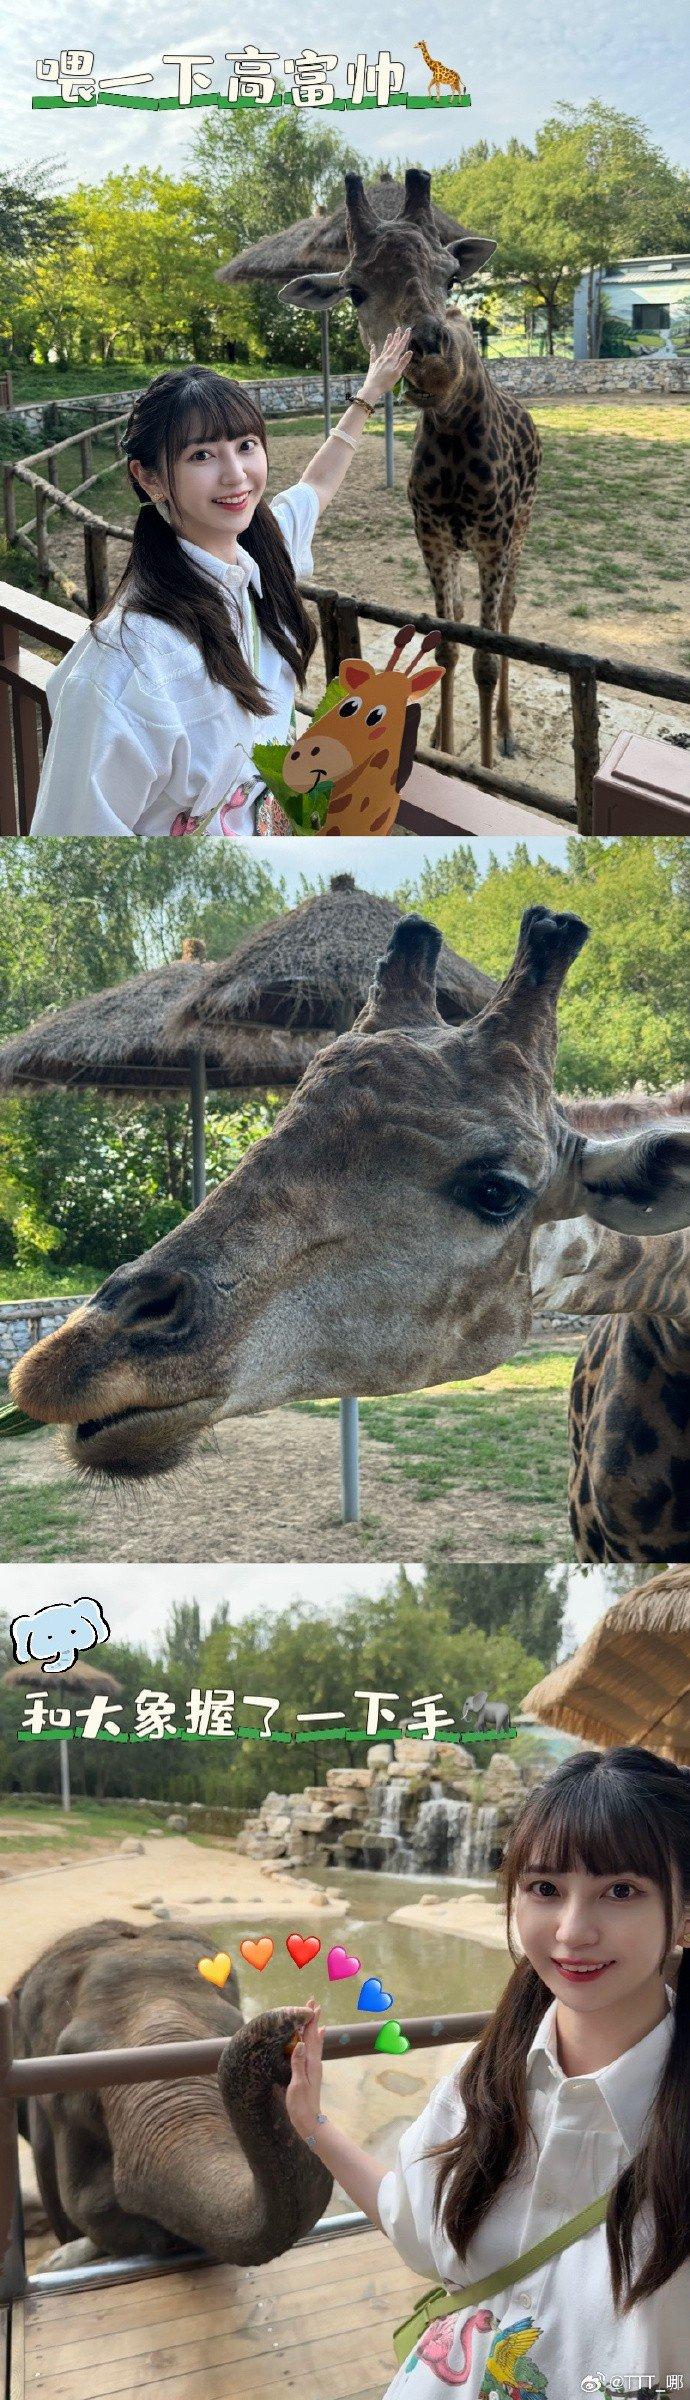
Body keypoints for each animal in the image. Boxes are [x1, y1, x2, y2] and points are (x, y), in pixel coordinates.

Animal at [281, 169, 543, 763]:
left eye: (451, 278)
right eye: (354, 291)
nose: (435, 365)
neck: (453, 433)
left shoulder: (493, 535)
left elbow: (485, 658)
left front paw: (486, 763)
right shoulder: (432, 533)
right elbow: (447, 647)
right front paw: (444, 746)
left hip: (521, 526)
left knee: (509, 611)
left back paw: (508, 732)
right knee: (466, 616)